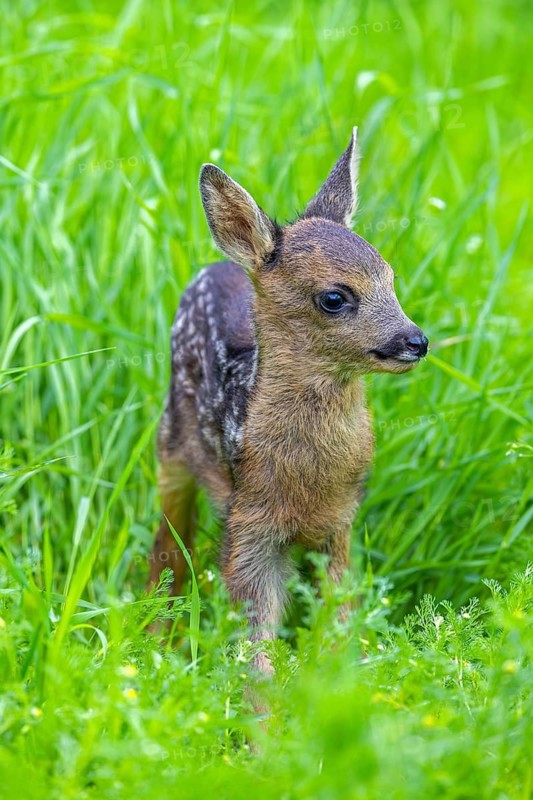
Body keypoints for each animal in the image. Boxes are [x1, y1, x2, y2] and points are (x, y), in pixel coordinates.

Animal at [148, 127, 428, 673]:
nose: (415, 340)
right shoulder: (249, 525)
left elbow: (338, 617)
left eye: (391, 277)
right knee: (168, 546)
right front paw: (258, 698)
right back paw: (154, 641)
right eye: (334, 298)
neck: (306, 482)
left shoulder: (340, 524)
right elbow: (254, 640)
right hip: (170, 447)